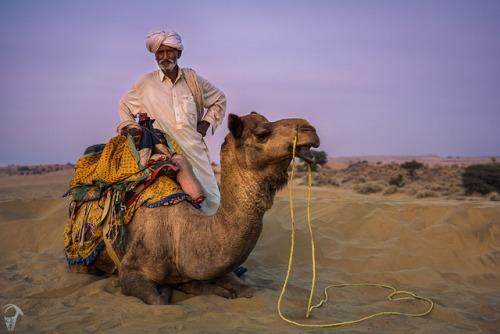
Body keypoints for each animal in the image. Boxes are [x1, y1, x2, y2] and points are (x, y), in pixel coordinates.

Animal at [69, 112, 320, 306]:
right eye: (261, 133)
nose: (310, 129)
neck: (179, 237)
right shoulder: (131, 271)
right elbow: (159, 301)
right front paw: (171, 290)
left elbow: (250, 291)